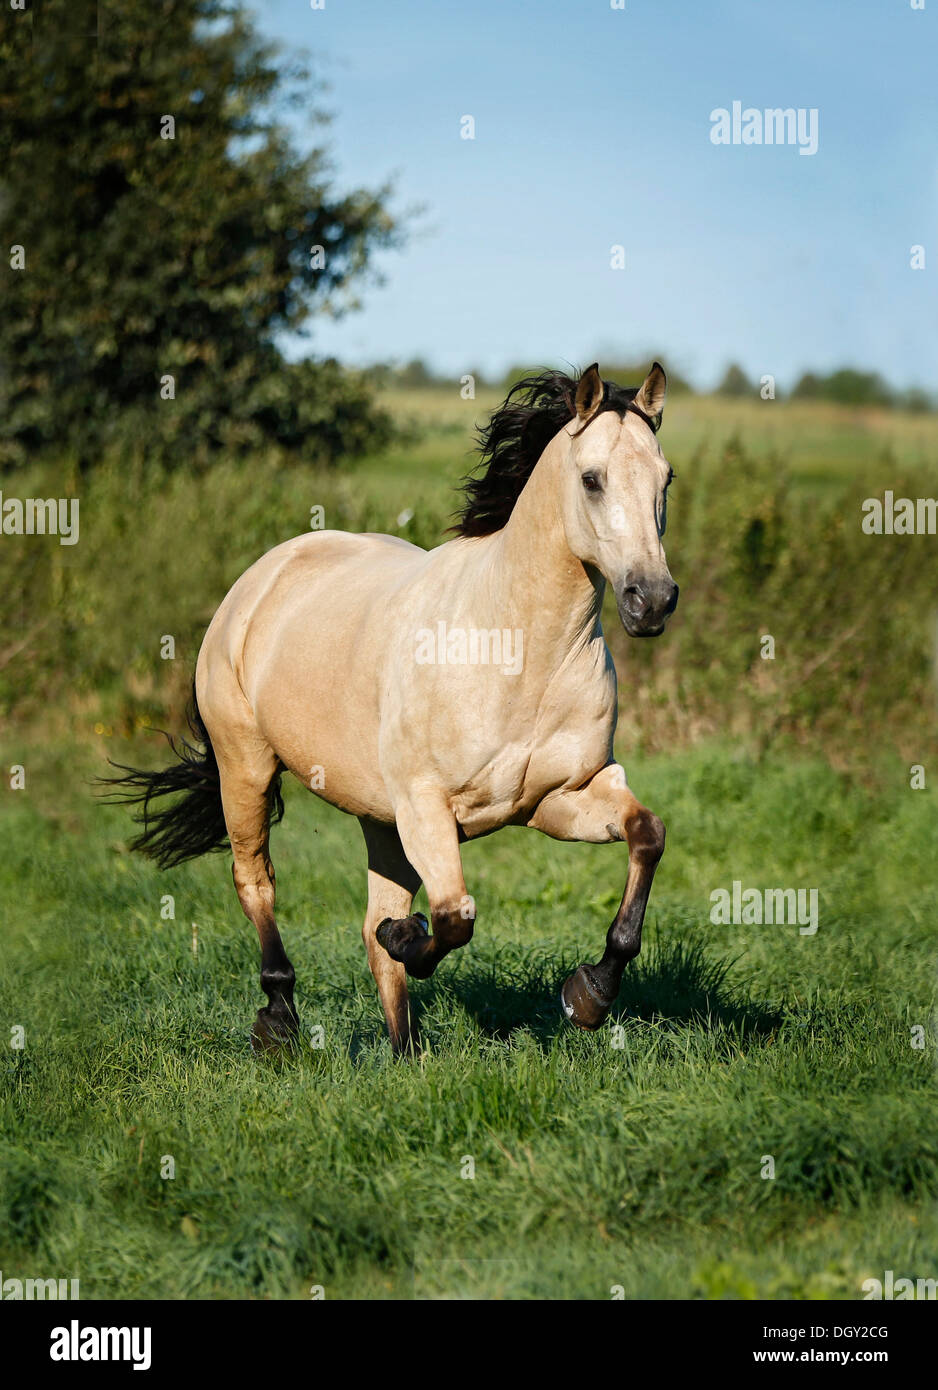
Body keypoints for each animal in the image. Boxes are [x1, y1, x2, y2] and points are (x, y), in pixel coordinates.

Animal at [104, 366, 683, 1050]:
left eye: (666, 478)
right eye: (592, 479)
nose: (652, 599)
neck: (519, 654)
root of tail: (259, 579)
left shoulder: (559, 797)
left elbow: (647, 835)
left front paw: (587, 995)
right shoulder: (426, 806)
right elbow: (455, 916)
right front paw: (411, 939)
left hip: (378, 816)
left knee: (370, 927)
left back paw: (406, 1052)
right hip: (246, 767)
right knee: (257, 884)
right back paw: (278, 1018)